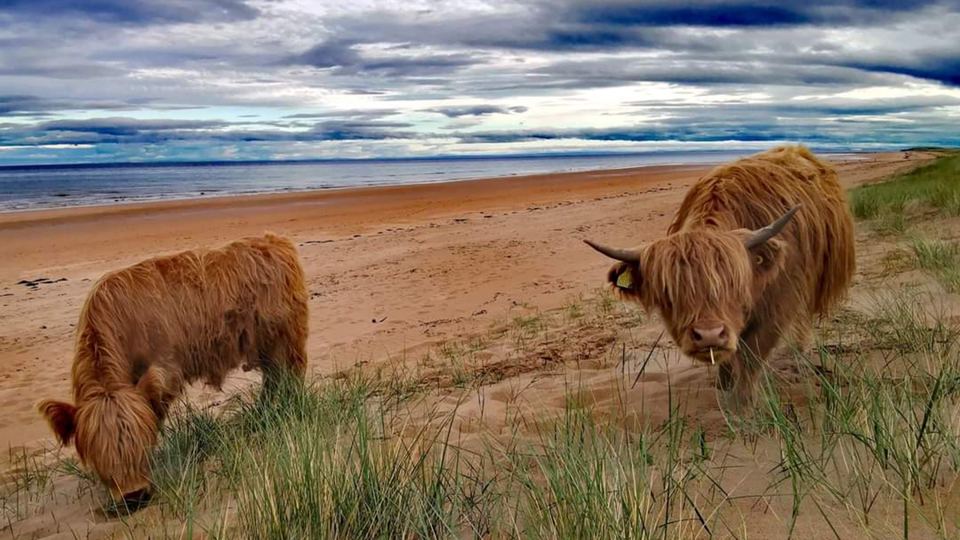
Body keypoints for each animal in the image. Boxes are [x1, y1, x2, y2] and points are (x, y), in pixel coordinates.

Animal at [38, 233, 309, 502]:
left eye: (139, 449)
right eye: (99, 460)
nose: (133, 496)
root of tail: (275, 240)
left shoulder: (164, 372)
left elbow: (155, 415)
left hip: (285, 340)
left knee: (291, 375)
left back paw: (288, 410)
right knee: (273, 379)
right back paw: (262, 412)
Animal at [585, 145, 855, 406]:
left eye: (734, 286)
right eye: (668, 294)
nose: (708, 336)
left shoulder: (779, 304)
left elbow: (752, 354)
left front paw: (741, 403)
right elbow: (727, 357)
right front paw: (723, 386)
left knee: (803, 319)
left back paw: (799, 357)